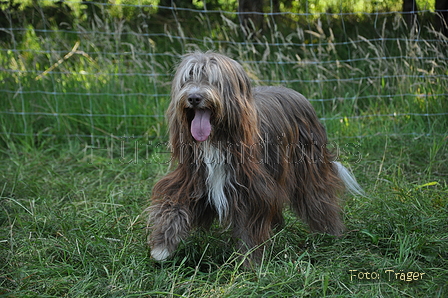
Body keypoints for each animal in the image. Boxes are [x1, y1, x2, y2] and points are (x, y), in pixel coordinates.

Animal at [145, 51, 362, 264]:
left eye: (214, 80)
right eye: (187, 79)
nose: (194, 98)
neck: (217, 140)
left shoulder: (252, 189)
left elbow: (249, 225)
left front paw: (250, 261)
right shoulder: (192, 177)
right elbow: (174, 204)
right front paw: (161, 247)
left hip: (308, 166)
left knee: (318, 198)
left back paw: (330, 234)